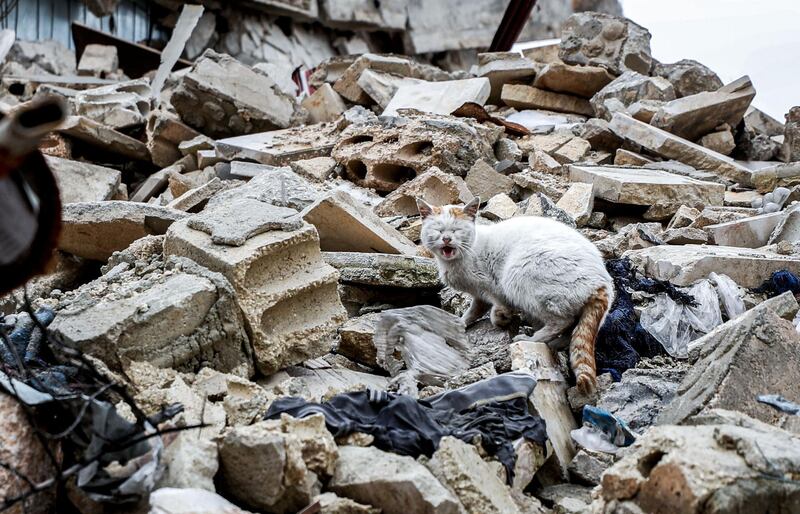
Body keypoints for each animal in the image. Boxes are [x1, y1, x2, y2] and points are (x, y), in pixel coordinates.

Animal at [418, 196, 612, 392]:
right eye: (438, 230)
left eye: (456, 230)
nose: (447, 239)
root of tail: (601, 283)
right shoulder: (479, 293)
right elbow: (474, 311)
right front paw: (460, 323)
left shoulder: (493, 287)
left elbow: (496, 309)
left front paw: (503, 318)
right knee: (570, 331)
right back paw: (552, 344)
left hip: (517, 274)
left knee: (561, 322)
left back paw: (531, 338)